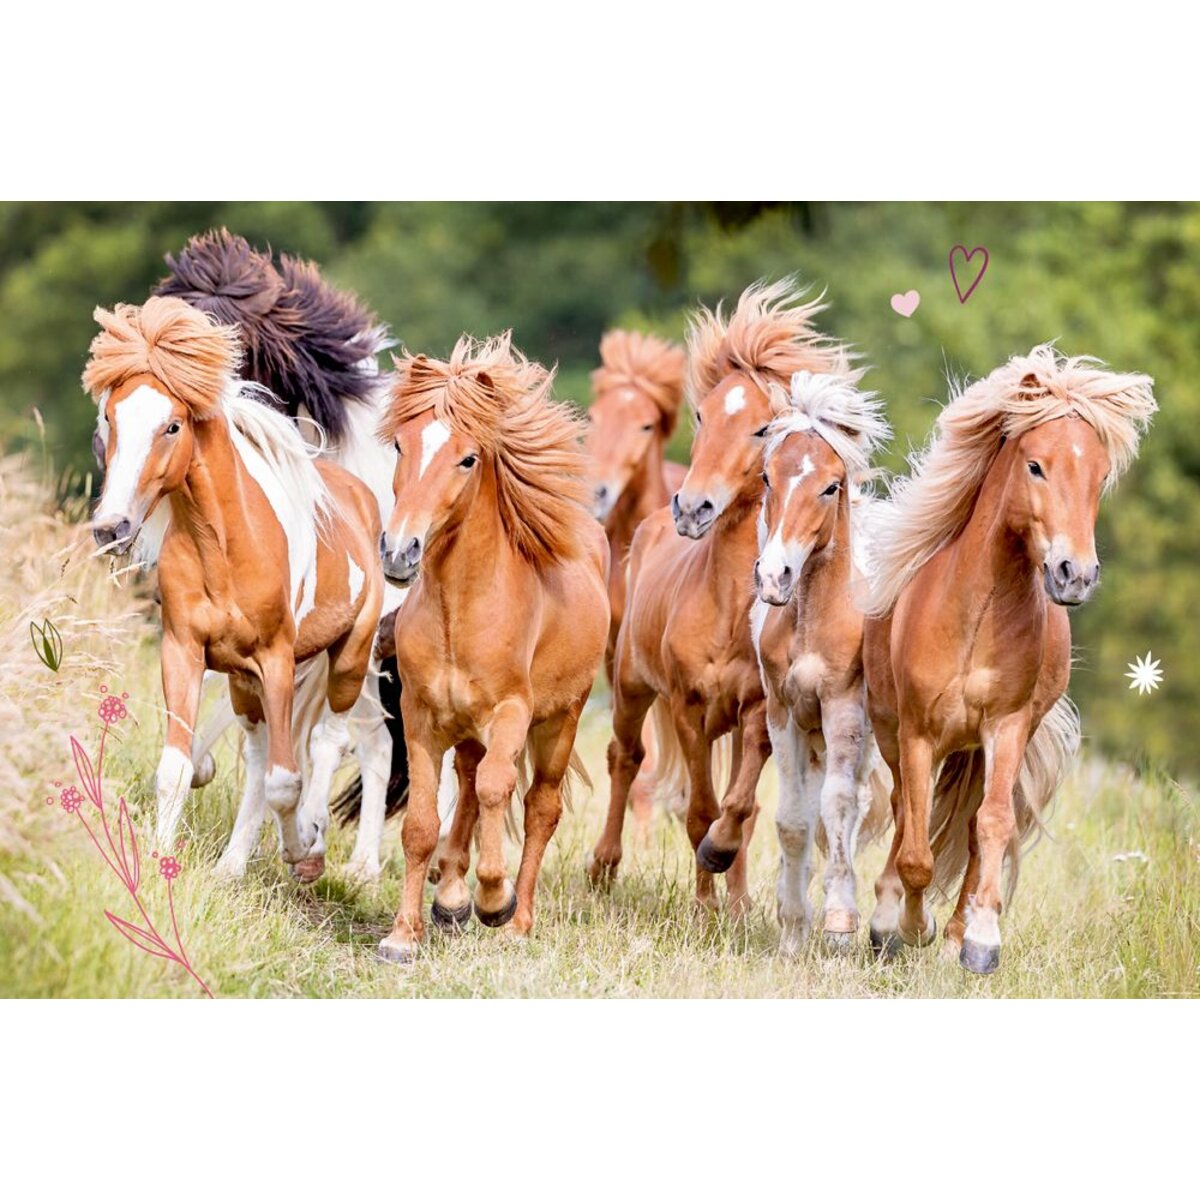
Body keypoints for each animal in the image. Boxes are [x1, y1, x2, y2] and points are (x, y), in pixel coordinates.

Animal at [84, 297, 385, 884]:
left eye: (172, 425)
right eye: (110, 418)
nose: (111, 527)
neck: (223, 547)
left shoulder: (277, 660)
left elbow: (286, 781)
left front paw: (302, 848)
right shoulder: (185, 651)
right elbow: (178, 767)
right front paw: (159, 863)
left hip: (348, 658)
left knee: (330, 742)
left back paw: (315, 847)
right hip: (245, 682)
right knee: (259, 752)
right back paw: (232, 864)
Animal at [375, 333, 609, 961]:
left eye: (468, 458)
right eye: (401, 445)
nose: (399, 551)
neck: (462, 612)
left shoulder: (511, 712)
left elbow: (500, 788)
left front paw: (493, 900)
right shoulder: (421, 715)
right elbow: (422, 824)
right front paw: (404, 935)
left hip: (560, 721)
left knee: (537, 806)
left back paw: (517, 918)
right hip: (466, 727)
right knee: (469, 786)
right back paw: (451, 897)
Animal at [587, 279, 857, 915]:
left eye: (761, 428)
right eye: (701, 414)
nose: (693, 508)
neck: (729, 611)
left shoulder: (759, 710)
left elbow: (741, 807)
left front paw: (730, 893)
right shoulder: (686, 706)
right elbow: (698, 809)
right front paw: (705, 903)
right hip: (630, 685)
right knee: (625, 760)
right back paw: (604, 869)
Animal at [861, 345, 1156, 973]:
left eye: (1100, 476)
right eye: (1036, 467)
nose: (1075, 574)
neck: (975, 616)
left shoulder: (1008, 726)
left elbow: (991, 825)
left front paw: (978, 939)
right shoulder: (919, 733)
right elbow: (917, 848)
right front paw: (908, 927)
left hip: (982, 748)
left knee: (976, 825)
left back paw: (954, 933)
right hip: (892, 729)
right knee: (904, 811)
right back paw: (888, 924)